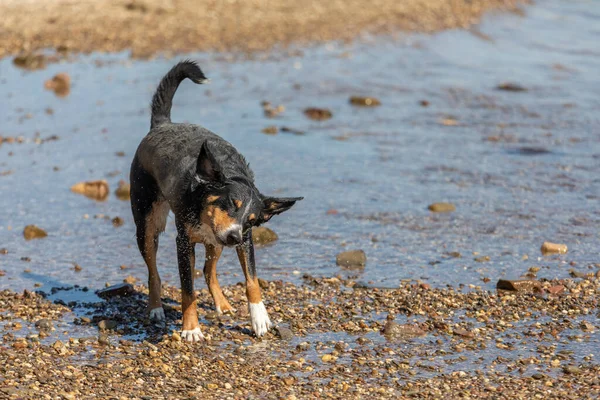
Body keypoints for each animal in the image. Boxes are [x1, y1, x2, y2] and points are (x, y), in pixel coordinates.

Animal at [129, 61, 302, 342]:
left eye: (252, 220)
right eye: (232, 203)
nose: (233, 236)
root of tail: (162, 125)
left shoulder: (245, 239)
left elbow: (252, 281)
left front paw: (260, 318)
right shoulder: (184, 243)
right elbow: (187, 289)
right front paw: (191, 328)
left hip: (215, 242)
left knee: (209, 270)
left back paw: (221, 302)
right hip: (147, 226)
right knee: (153, 273)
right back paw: (155, 308)